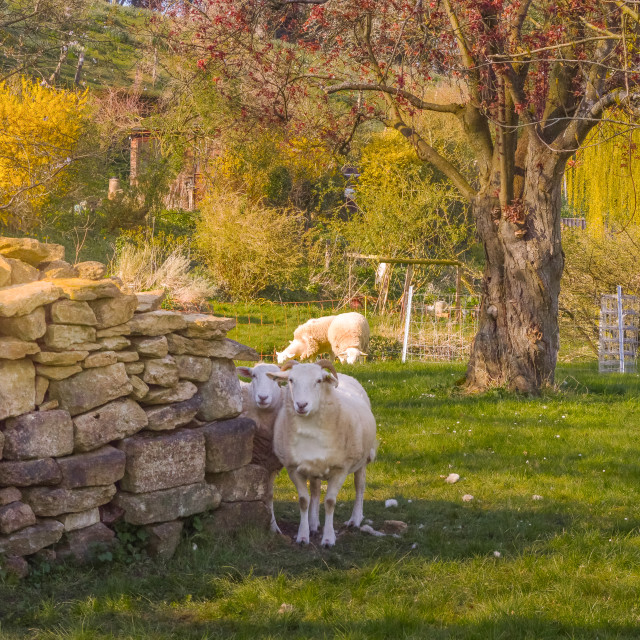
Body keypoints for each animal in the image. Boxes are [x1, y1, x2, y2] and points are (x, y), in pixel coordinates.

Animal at [236, 362, 284, 532]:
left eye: (275, 378)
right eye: (254, 376)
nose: (262, 397)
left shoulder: (272, 464)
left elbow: (268, 494)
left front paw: (273, 526)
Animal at [268, 360, 378, 544]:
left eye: (318, 381)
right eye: (291, 380)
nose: (301, 405)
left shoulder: (340, 469)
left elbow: (330, 502)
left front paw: (328, 538)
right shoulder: (293, 468)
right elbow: (304, 500)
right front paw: (303, 535)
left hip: (362, 459)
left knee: (360, 486)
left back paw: (355, 520)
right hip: (315, 467)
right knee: (315, 490)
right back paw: (313, 524)